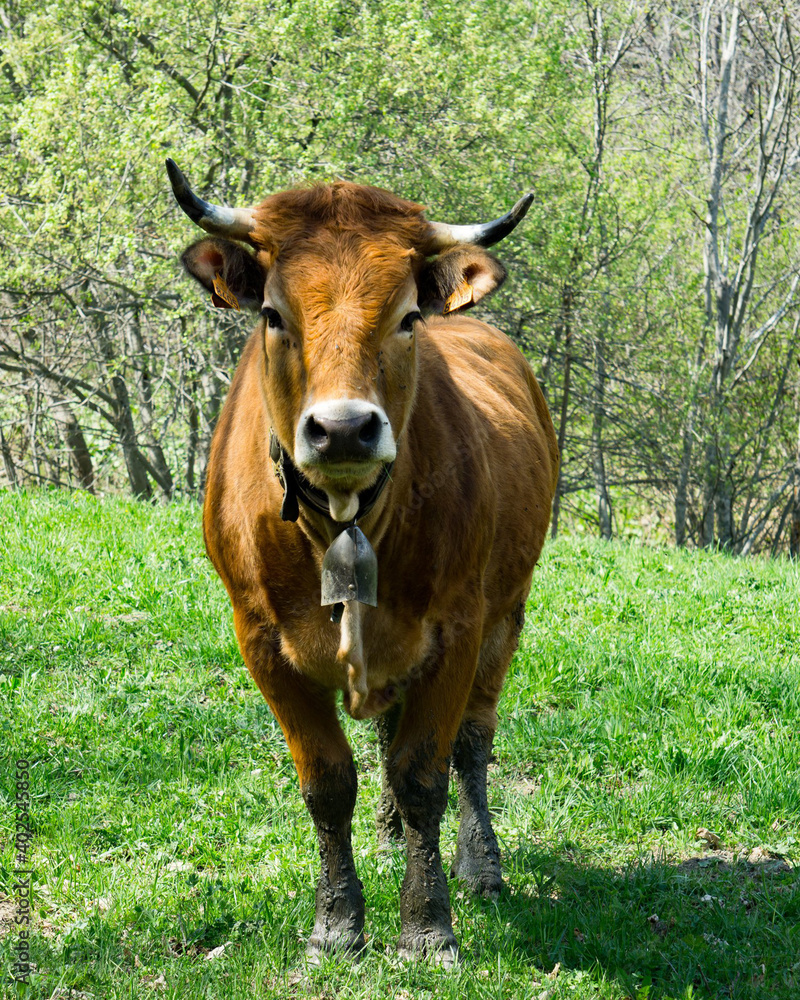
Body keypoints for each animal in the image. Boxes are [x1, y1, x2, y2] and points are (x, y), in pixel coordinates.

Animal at [169, 160, 556, 964]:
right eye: (273, 314)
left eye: (406, 317)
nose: (343, 428)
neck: (344, 522)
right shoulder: (261, 641)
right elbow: (327, 780)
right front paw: (337, 922)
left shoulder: (456, 629)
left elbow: (425, 773)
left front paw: (426, 924)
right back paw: (386, 835)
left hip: (507, 613)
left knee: (472, 742)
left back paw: (479, 860)